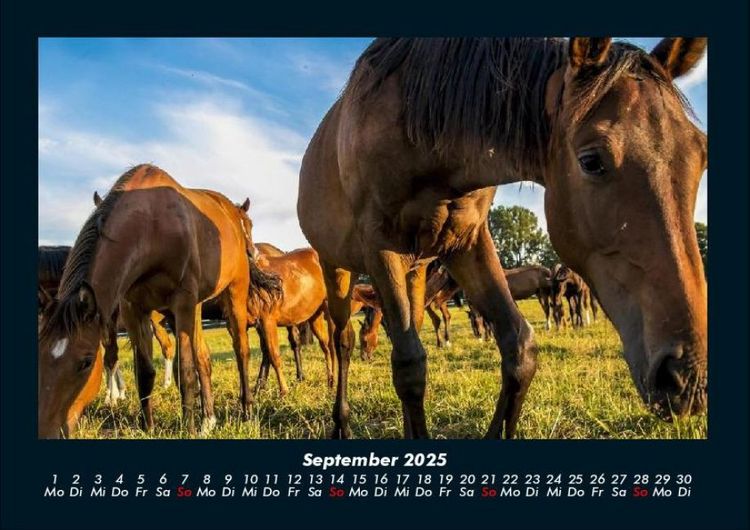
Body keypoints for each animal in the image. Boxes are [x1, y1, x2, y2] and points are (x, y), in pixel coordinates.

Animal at [38, 164, 273, 437]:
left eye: (85, 362)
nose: (46, 430)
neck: (151, 227)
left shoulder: (181, 303)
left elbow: (185, 370)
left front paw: (188, 429)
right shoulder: (133, 309)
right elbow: (145, 371)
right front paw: (148, 426)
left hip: (234, 292)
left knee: (240, 350)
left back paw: (246, 410)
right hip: (194, 307)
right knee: (203, 357)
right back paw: (208, 419)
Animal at [298, 37, 707, 438]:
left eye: (701, 154)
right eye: (591, 161)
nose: (687, 378)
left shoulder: (468, 243)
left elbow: (519, 349)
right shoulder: (380, 247)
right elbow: (409, 366)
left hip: (415, 270)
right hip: (337, 267)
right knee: (343, 340)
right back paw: (341, 424)